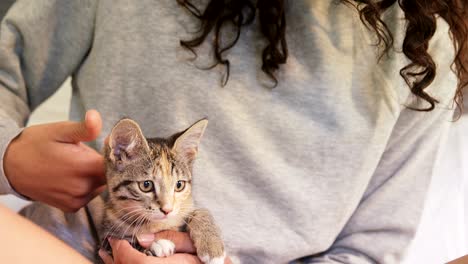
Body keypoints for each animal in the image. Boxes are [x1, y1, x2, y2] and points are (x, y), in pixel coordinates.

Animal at [99, 119, 226, 264]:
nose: (167, 210)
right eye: (146, 185)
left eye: (179, 185)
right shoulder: (105, 241)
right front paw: (156, 245)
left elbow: (201, 211)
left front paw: (212, 246)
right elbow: (126, 242)